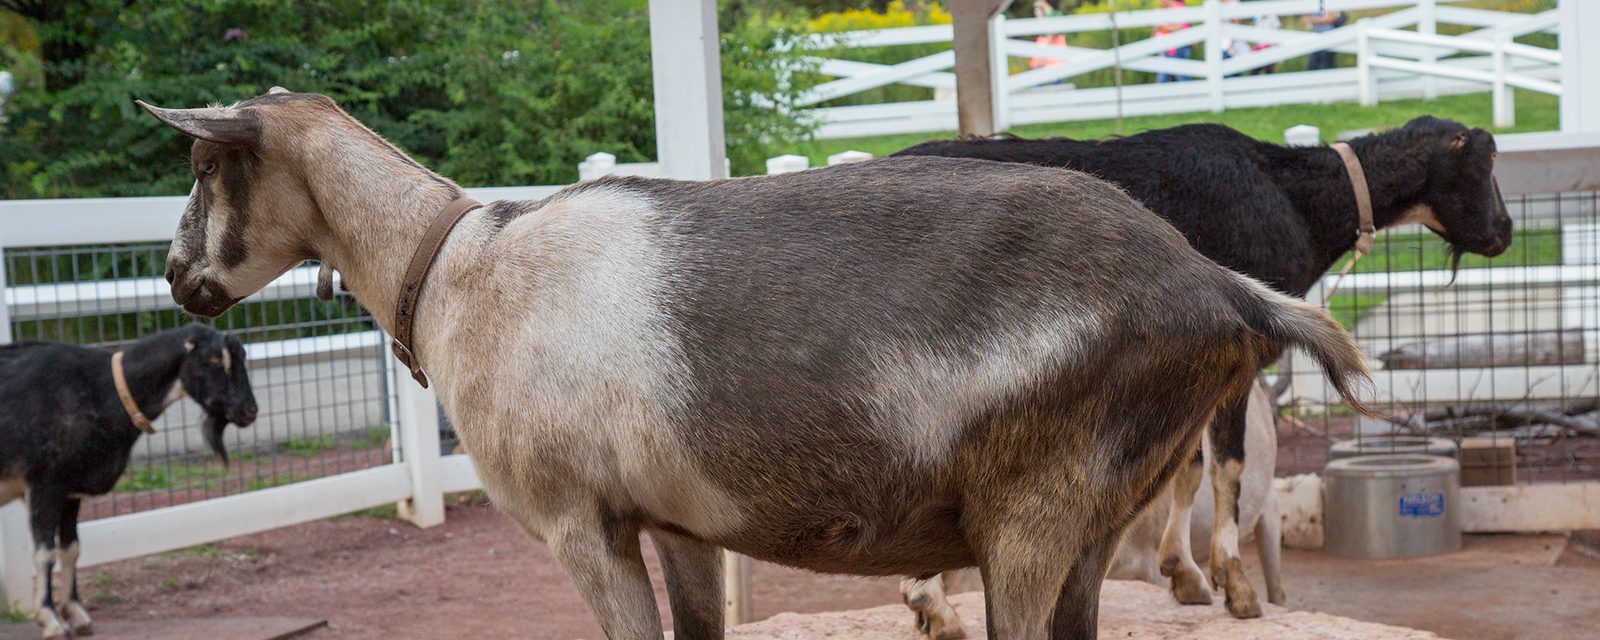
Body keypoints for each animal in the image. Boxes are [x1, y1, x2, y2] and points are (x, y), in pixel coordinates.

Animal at [0, 324, 254, 640]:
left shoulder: (71, 488)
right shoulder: (44, 483)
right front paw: (51, 620)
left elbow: (71, 549)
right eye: (215, 360)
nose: (249, 410)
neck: (102, 391)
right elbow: (45, 554)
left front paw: (77, 614)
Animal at [137, 91, 1369, 640]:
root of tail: (1215, 286)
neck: (456, 269)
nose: (176, 276)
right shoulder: (678, 520)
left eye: (202, 166)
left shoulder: (580, 520)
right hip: (1097, 518)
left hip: (1034, 509)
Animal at [902, 116, 1510, 620]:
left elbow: (1188, 468)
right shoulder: (1242, 354)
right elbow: (1227, 466)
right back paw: (931, 603)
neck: (1291, 196)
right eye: (1483, 164)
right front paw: (1232, 582)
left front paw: (1185, 573)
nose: (1503, 231)